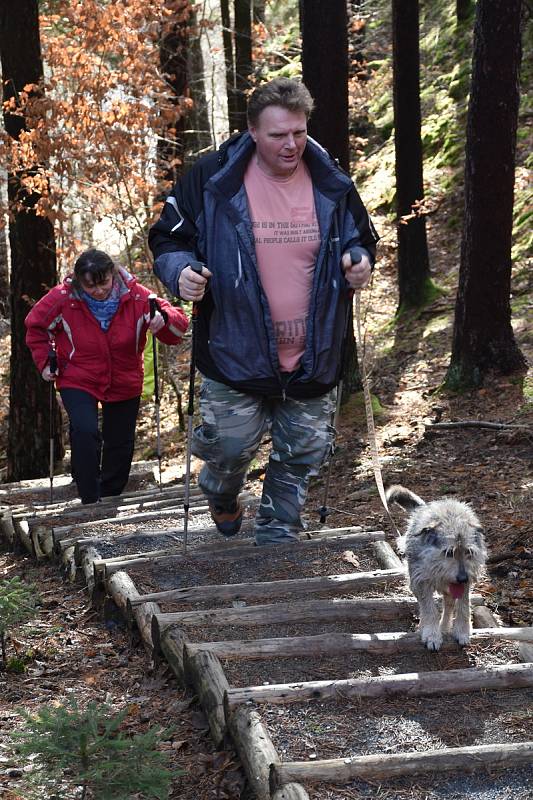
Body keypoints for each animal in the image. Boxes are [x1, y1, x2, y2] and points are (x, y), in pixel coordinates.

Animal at [386, 488, 486, 648]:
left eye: (469, 552)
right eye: (448, 552)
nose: (462, 578)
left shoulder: (465, 584)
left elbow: (463, 606)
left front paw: (462, 631)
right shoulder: (420, 581)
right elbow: (429, 609)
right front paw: (432, 635)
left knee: (449, 605)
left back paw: (444, 627)